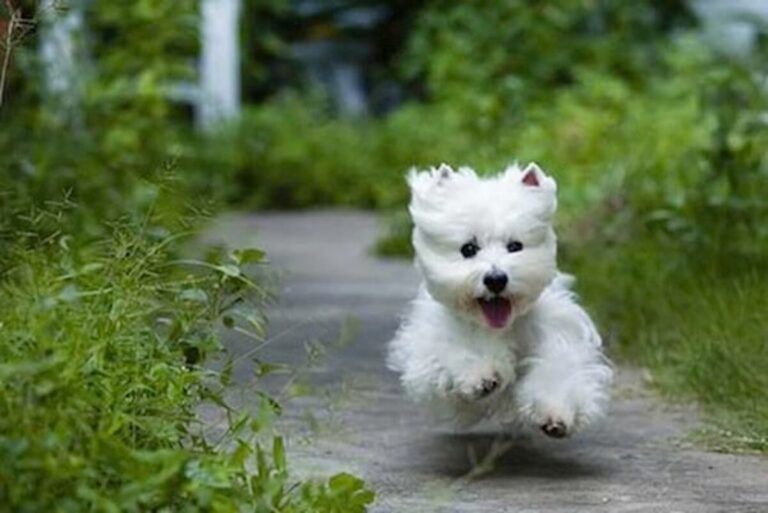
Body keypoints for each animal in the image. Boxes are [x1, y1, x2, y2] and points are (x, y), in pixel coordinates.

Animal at [390, 163, 612, 436]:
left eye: (515, 245)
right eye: (468, 249)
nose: (496, 279)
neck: (502, 326)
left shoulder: (557, 336)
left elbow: (557, 368)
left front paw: (555, 413)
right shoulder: (430, 348)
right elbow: (454, 353)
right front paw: (482, 377)